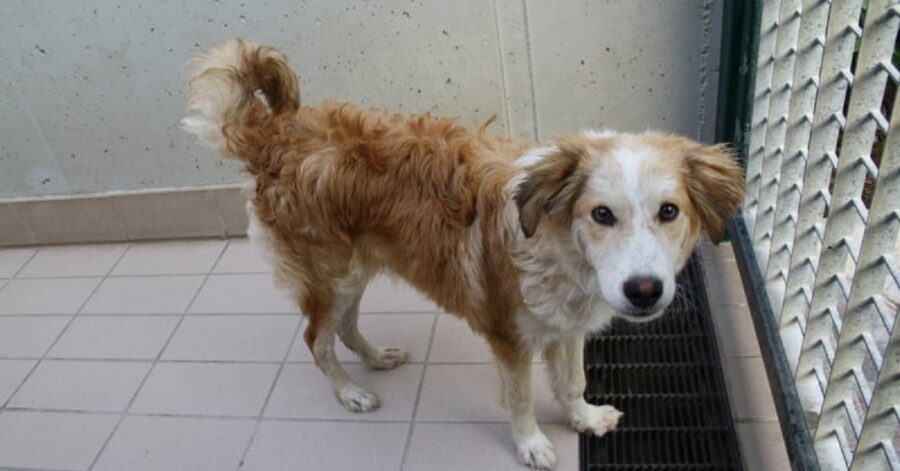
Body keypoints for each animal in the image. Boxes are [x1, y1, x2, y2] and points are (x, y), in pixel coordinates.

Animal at [179, 38, 740, 470]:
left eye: (669, 212)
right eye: (602, 215)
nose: (644, 291)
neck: (556, 246)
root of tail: (276, 135)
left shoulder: (567, 324)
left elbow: (571, 381)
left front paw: (583, 418)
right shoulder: (508, 337)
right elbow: (520, 398)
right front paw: (532, 444)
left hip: (356, 269)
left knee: (343, 327)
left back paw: (376, 358)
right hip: (330, 275)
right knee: (316, 339)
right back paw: (350, 392)